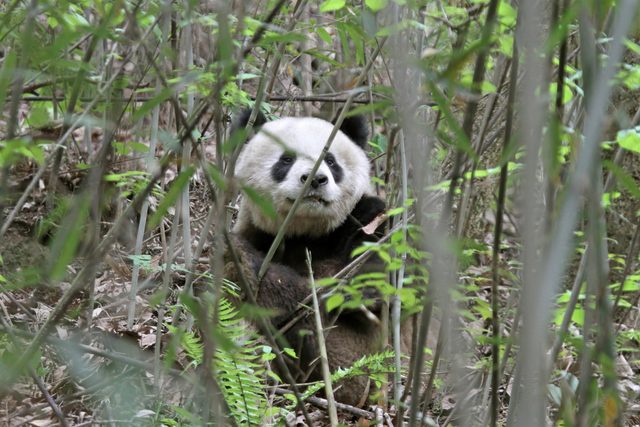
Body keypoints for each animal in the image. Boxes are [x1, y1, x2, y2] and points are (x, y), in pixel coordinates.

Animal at [225, 110, 387, 406]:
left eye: (331, 161)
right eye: (286, 159)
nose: (315, 179)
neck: (306, 232)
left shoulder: (371, 226)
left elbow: (356, 287)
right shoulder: (257, 232)